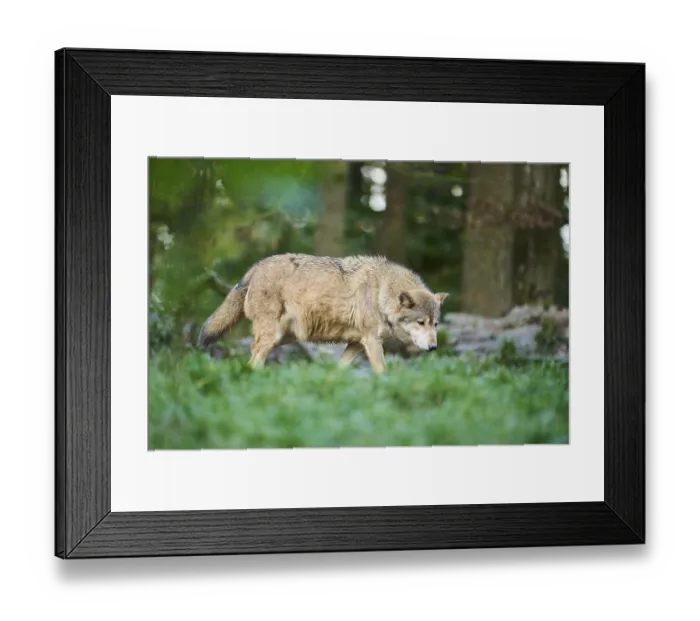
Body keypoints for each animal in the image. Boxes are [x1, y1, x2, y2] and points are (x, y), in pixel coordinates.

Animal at [197, 253, 449, 374]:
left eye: (435, 324)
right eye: (421, 322)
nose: (434, 347)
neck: (381, 291)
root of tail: (255, 267)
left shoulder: (357, 343)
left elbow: (339, 369)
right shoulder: (371, 340)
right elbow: (381, 371)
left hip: (283, 337)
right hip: (272, 336)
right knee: (253, 360)